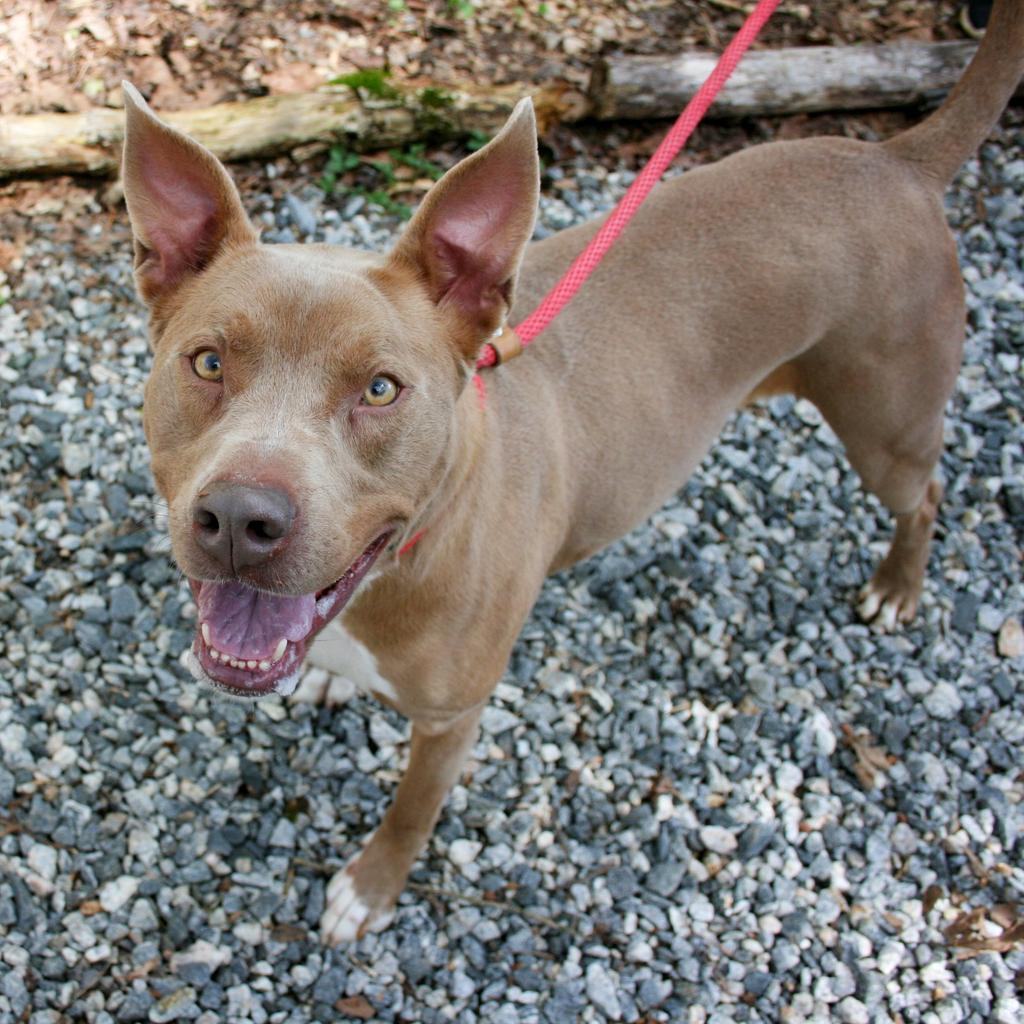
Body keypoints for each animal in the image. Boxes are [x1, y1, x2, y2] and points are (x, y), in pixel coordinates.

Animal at [121, 2, 1024, 942]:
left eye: (380, 388)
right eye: (208, 362)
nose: (239, 519)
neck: (408, 556)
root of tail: (895, 159)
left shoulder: (452, 718)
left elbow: (411, 812)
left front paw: (370, 889)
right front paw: (329, 677)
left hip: (886, 423)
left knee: (926, 491)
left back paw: (897, 586)